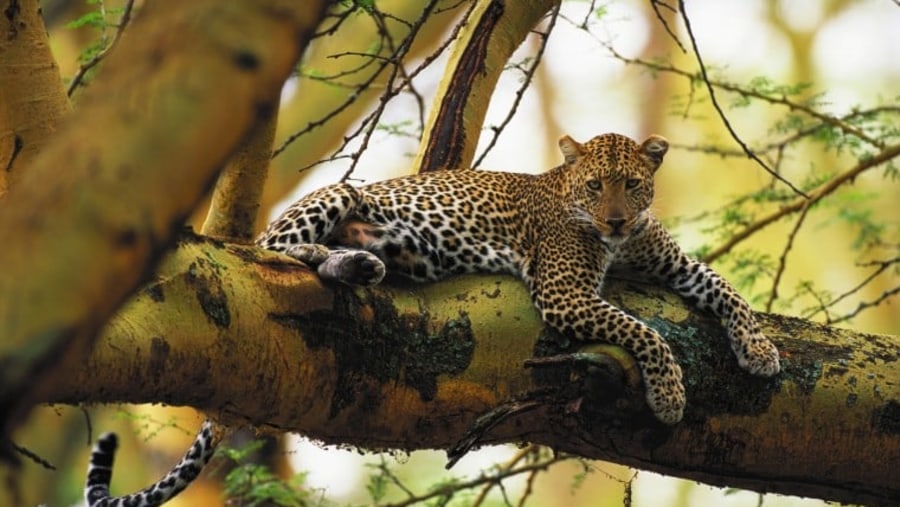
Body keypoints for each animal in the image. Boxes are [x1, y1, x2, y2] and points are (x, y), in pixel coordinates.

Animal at [82, 132, 780, 507]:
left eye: (632, 185)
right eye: (593, 186)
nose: (613, 219)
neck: (619, 243)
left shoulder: (671, 264)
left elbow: (725, 288)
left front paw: (761, 351)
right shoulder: (564, 291)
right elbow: (648, 333)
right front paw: (669, 394)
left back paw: (360, 263)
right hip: (337, 194)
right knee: (278, 253)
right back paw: (344, 260)